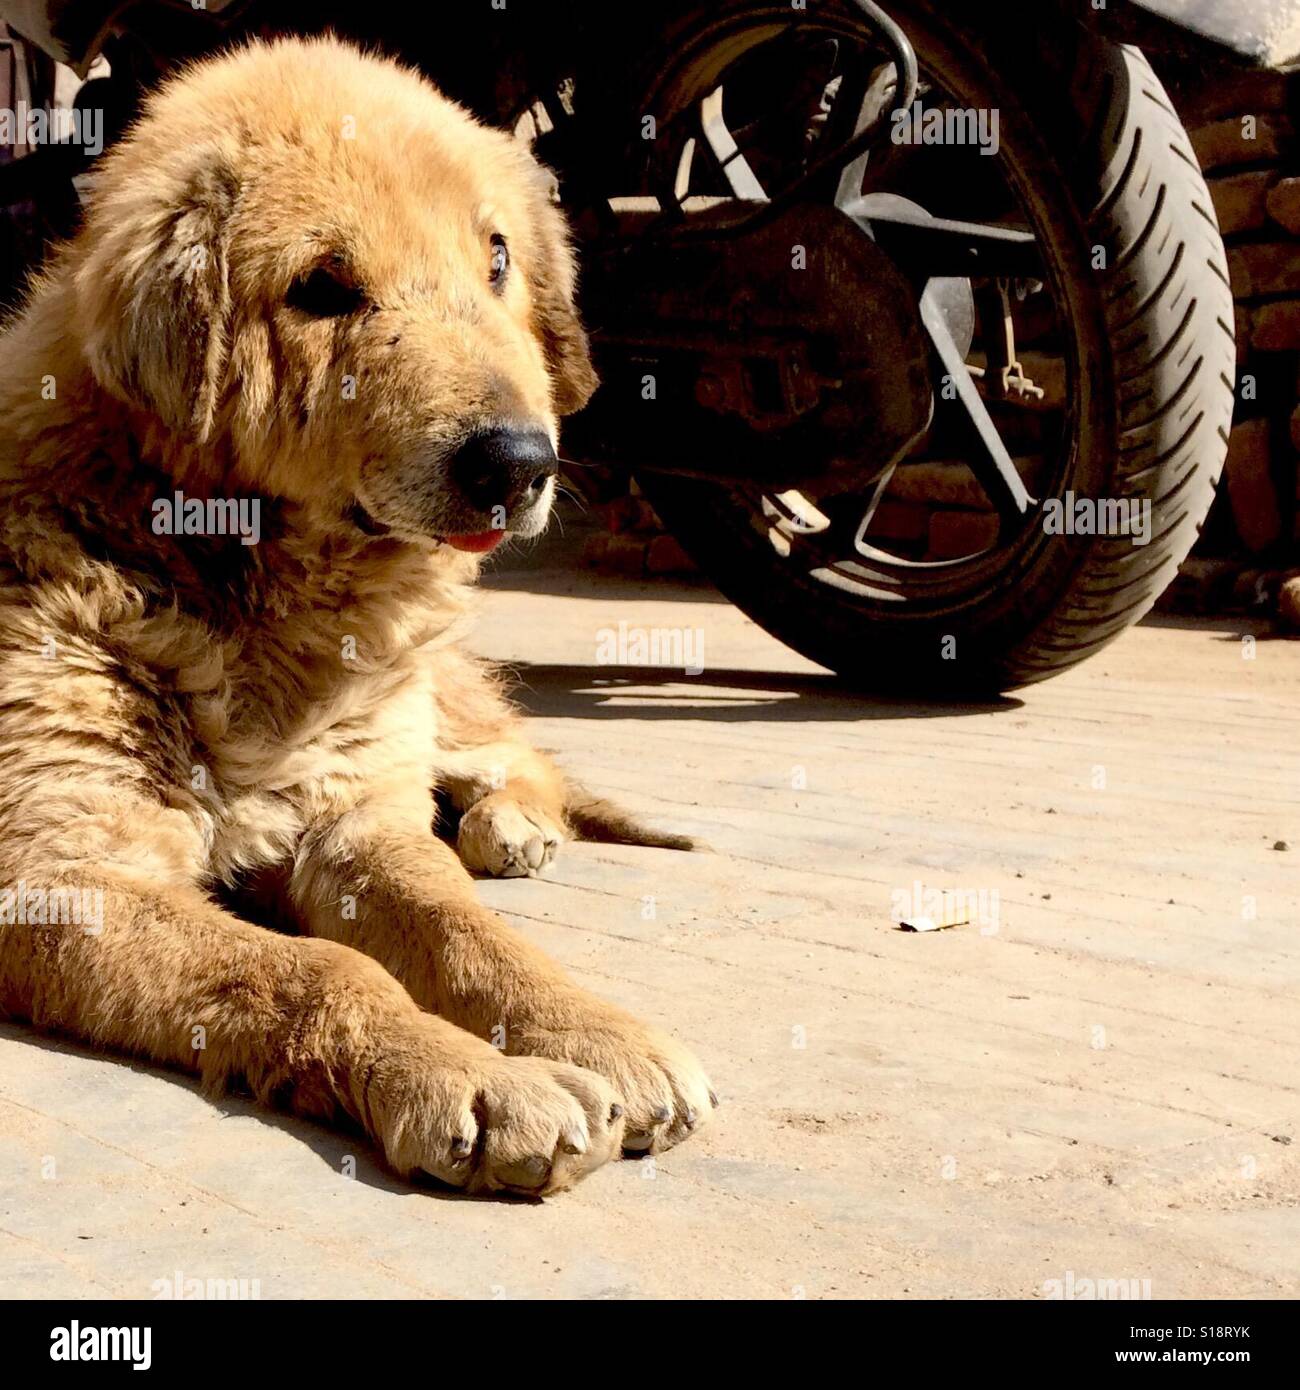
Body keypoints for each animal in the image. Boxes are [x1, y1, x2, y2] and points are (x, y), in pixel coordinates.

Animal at [0, 35, 717, 1195]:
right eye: (322, 288)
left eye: (497, 260)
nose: (520, 464)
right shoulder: (63, 871)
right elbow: (316, 969)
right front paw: (468, 1076)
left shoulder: (357, 820)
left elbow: (465, 930)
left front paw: (591, 1027)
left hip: (436, 704)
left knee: (518, 760)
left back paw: (509, 825)